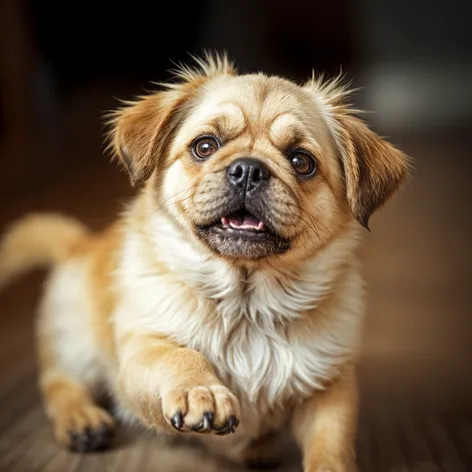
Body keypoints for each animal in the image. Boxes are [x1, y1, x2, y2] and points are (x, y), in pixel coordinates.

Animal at [0, 53, 410, 470]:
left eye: (301, 162)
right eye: (204, 146)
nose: (249, 168)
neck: (246, 305)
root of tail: (80, 244)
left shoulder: (330, 386)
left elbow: (331, 443)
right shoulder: (141, 351)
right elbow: (179, 356)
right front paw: (202, 390)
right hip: (76, 342)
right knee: (59, 381)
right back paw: (81, 420)